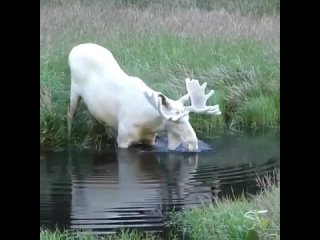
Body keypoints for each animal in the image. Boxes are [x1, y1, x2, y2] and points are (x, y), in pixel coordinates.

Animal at [67, 43, 221, 151]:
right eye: (177, 121)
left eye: (188, 118)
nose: (194, 143)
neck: (149, 123)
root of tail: (74, 49)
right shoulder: (123, 140)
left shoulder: (150, 139)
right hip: (74, 90)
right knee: (70, 114)